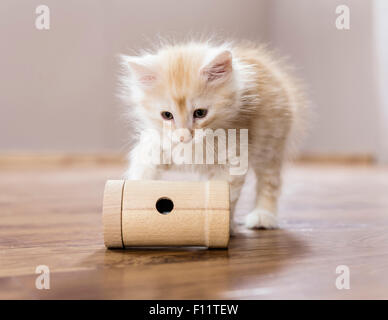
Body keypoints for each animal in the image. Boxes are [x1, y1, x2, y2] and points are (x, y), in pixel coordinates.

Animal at [119, 41, 306, 231]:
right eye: (167, 115)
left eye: (200, 113)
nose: (184, 137)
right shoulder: (154, 146)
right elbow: (142, 173)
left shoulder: (234, 158)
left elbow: (227, 194)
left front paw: (225, 225)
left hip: (269, 143)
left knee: (270, 181)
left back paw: (263, 216)